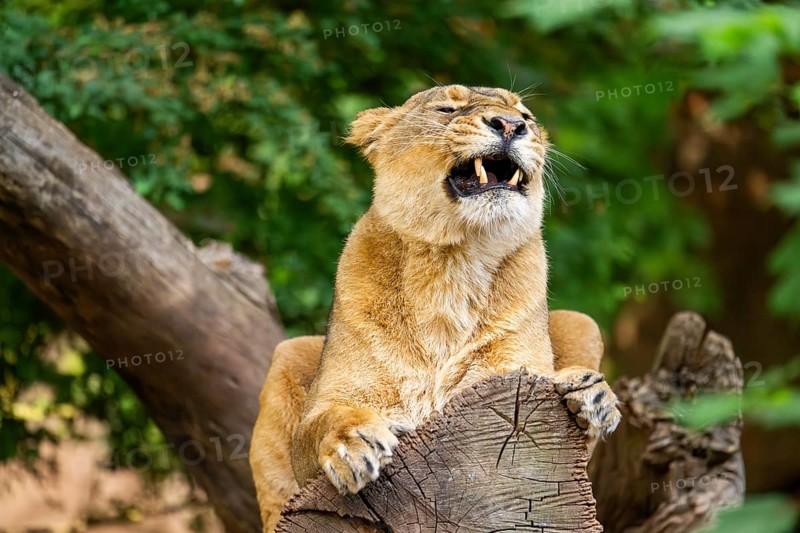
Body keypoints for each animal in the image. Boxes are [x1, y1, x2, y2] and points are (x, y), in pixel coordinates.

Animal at [250, 84, 621, 532]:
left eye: (527, 116)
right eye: (446, 108)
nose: (510, 125)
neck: (452, 264)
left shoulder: (506, 380)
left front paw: (590, 394)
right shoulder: (322, 413)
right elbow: (322, 424)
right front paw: (355, 442)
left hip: (581, 324)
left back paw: (590, 398)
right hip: (289, 353)